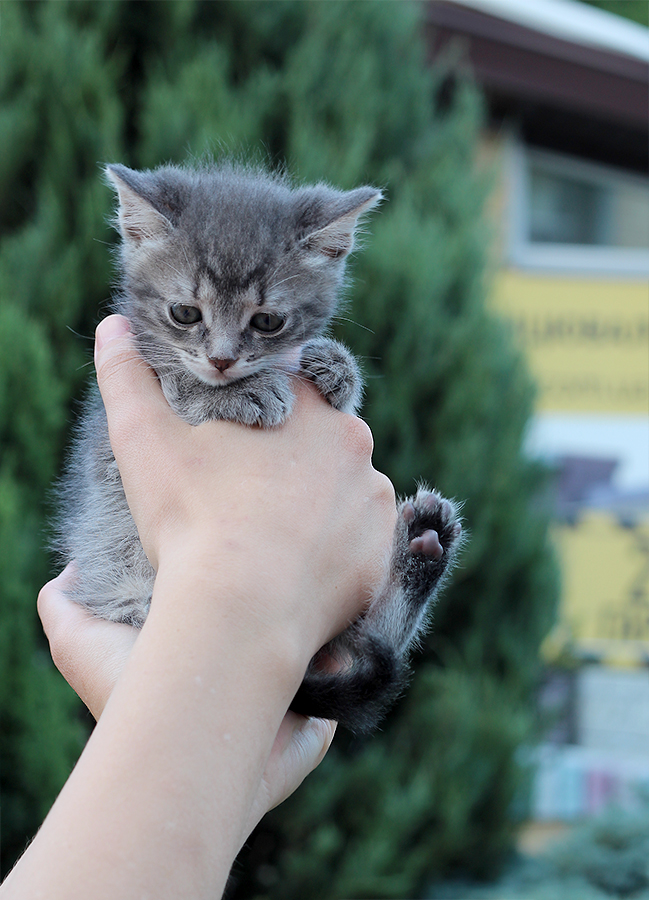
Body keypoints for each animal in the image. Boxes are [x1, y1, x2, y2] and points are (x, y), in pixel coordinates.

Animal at [55, 162, 460, 736]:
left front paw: (337, 367)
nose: (223, 360)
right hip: (117, 581)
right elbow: (187, 388)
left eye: (268, 321)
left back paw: (422, 551)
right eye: (185, 313)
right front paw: (243, 392)